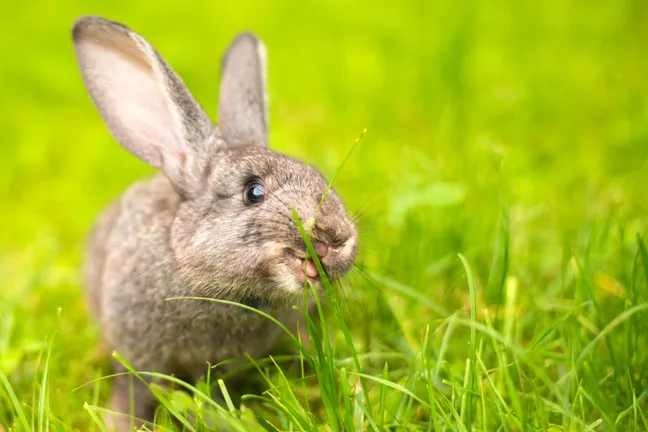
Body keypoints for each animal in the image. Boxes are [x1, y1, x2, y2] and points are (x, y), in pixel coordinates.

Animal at [72, 15, 359, 430]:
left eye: (318, 175)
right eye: (254, 192)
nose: (337, 237)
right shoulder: (138, 355)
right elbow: (135, 390)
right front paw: (122, 422)